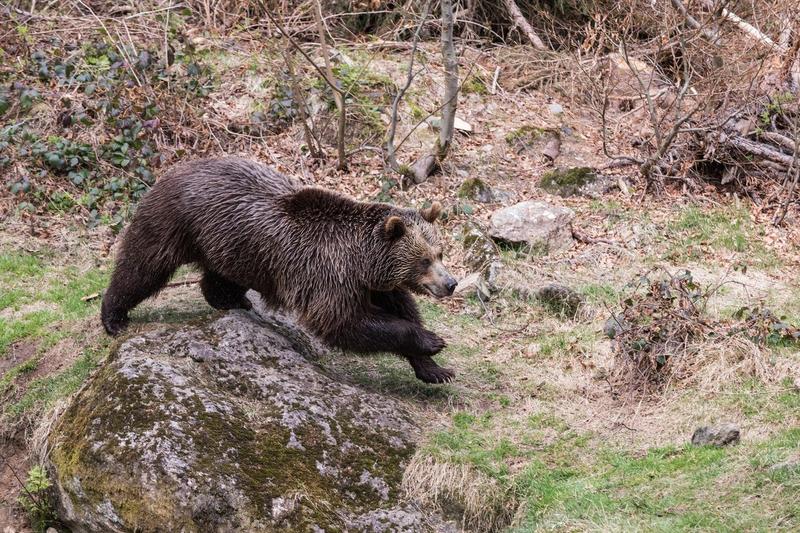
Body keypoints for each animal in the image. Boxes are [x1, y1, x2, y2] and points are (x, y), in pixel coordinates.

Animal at [101, 158, 462, 382]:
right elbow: (344, 323)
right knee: (144, 264)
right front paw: (432, 341)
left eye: (440, 253)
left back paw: (232, 300)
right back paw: (114, 316)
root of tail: (173, 168)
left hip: (235, 244)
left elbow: (401, 306)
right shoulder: (329, 277)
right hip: (177, 221)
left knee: (222, 275)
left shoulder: (370, 282)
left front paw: (434, 369)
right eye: (424, 260)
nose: (451, 283)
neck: (361, 262)